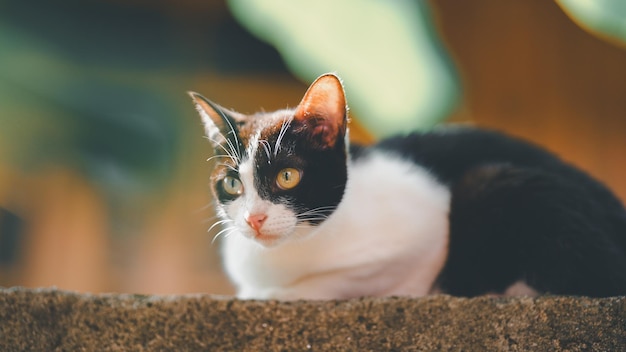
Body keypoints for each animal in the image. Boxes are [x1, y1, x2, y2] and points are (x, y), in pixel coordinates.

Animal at [189, 74, 624, 300]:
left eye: (287, 176)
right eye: (232, 182)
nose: (254, 219)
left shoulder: (424, 230)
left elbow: (339, 281)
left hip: (489, 182)